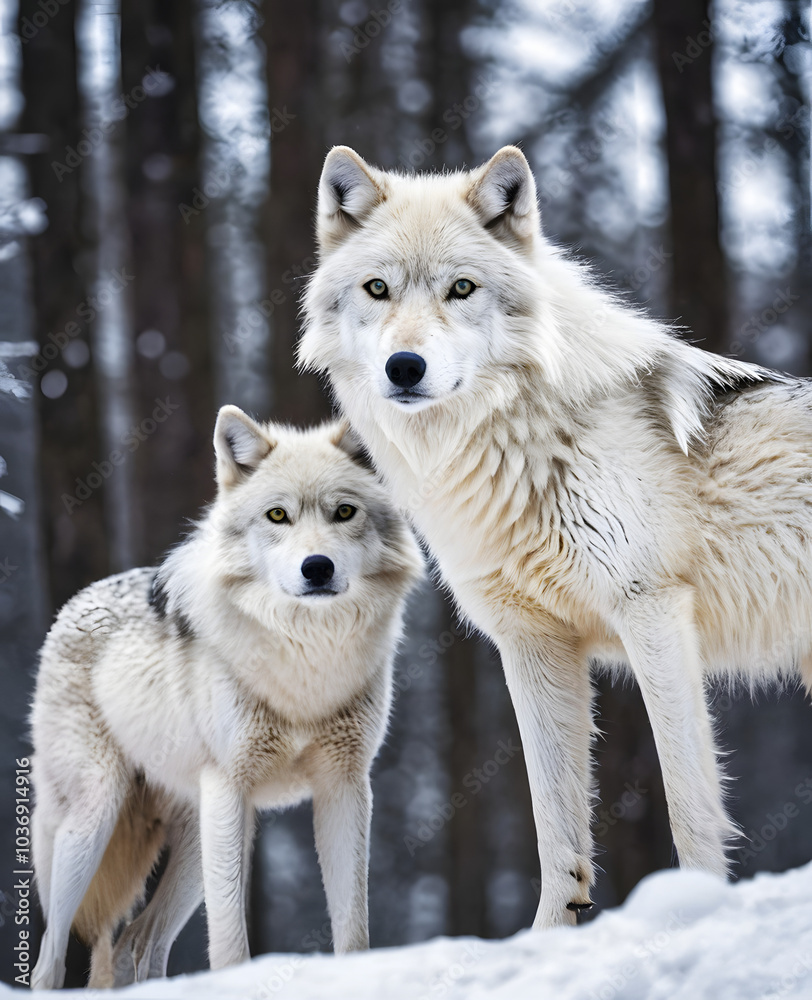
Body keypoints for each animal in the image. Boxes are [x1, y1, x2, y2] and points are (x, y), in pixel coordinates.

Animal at [30, 406, 423, 989]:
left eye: (345, 512)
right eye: (277, 515)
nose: (317, 567)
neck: (306, 661)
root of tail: (73, 604)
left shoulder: (345, 786)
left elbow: (354, 928)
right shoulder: (230, 787)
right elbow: (231, 942)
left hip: (196, 841)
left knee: (136, 944)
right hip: (95, 821)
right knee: (51, 958)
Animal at [300, 144, 812, 928]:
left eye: (461, 289)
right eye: (377, 289)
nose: (404, 367)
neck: (519, 441)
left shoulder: (651, 611)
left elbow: (688, 801)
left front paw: (692, 908)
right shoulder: (533, 640)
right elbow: (556, 822)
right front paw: (550, 932)